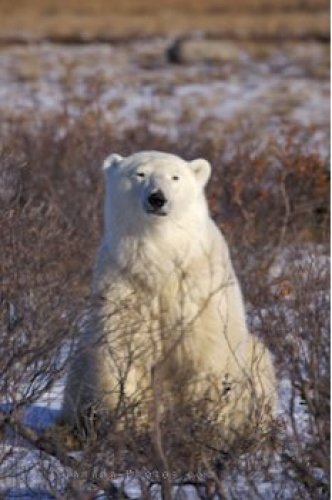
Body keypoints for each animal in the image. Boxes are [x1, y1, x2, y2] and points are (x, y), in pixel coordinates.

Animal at [62, 149, 278, 442]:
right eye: (139, 173)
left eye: (175, 177)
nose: (157, 198)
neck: (161, 256)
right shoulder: (125, 286)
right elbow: (125, 356)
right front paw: (131, 428)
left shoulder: (198, 294)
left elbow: (205, 360)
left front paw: (206, 429)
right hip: (82, 361)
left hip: (252, 358)